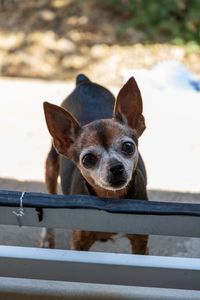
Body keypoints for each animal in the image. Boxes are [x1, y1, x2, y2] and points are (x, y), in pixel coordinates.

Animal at [42, 74, 148, 253]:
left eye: (128, 147)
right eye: (88, 159)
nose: (116, 167)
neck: (112, 199)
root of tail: (84, 82)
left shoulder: (140, 241)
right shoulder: (79, 243)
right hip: (51, 165)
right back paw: (47, 238)